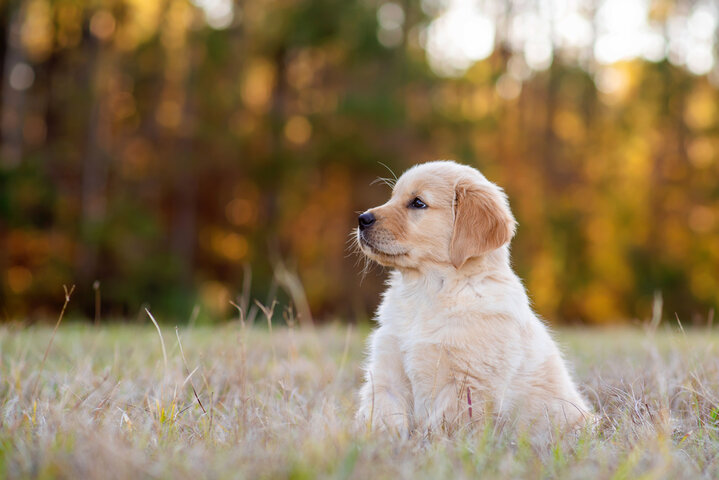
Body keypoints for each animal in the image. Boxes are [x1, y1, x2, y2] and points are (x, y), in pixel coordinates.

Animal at [354, 160, 592, 438]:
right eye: (392, 197)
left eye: (418, 203)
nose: (362, 219)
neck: (426, 290)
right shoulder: (387, 370)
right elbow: (384, 414)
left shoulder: (466, 383)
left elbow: (441, 428)